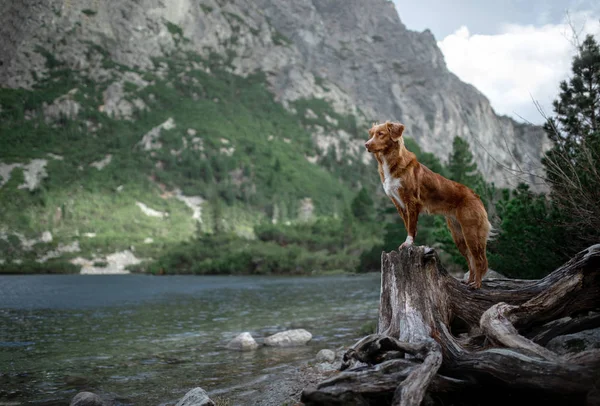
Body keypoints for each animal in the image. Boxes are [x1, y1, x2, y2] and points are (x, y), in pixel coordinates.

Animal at [366, 120, 492, 288]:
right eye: (372, 134)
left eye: (381, 134)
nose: (366, 144)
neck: (390, 162)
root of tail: (476, 196)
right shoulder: (399, 204)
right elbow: (408, 225)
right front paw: (409, 244)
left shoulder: (411, 201)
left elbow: (411, 227)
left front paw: (408, 243)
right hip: (458, 235)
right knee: (470, 259)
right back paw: (469, 280)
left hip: (471, 231)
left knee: (479, 260)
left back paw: (476, 284)